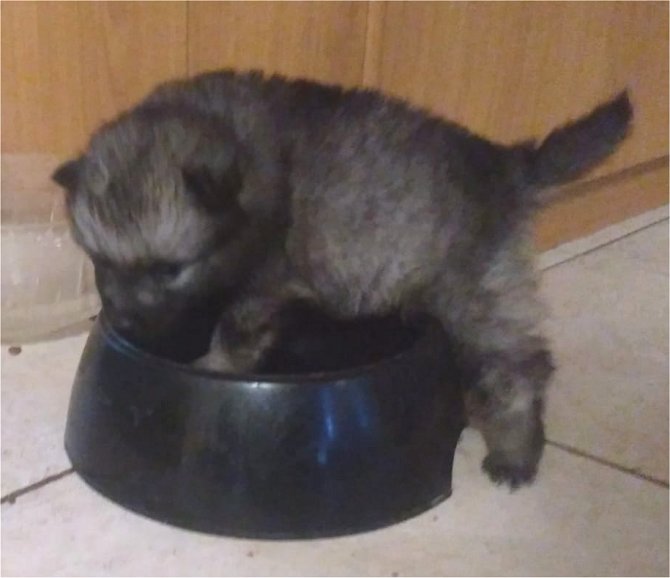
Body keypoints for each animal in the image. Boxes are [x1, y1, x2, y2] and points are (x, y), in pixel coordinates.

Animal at [53, 70, 632, 487]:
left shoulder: (267, 284)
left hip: (474, 296)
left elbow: (236, 330)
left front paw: (216, 364)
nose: (125, 318)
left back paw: (516, 451)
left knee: (516, 370)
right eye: (100, 261)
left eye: (167, 269)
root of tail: (504, 164)